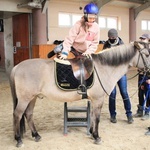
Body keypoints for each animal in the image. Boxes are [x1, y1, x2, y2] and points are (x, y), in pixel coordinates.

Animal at [9, 40, 150, 146]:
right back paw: (19, 139)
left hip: (32, 98)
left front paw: (92, 132)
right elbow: (97, 118)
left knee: (28, 114)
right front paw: (97, 137)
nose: (148, 72)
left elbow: (92, 116)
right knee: (17, 115)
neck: (102, 68)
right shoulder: (98, 99)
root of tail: (17, 67)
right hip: (24, 99)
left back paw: (36, 135)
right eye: (147, 55)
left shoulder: (93, 100)